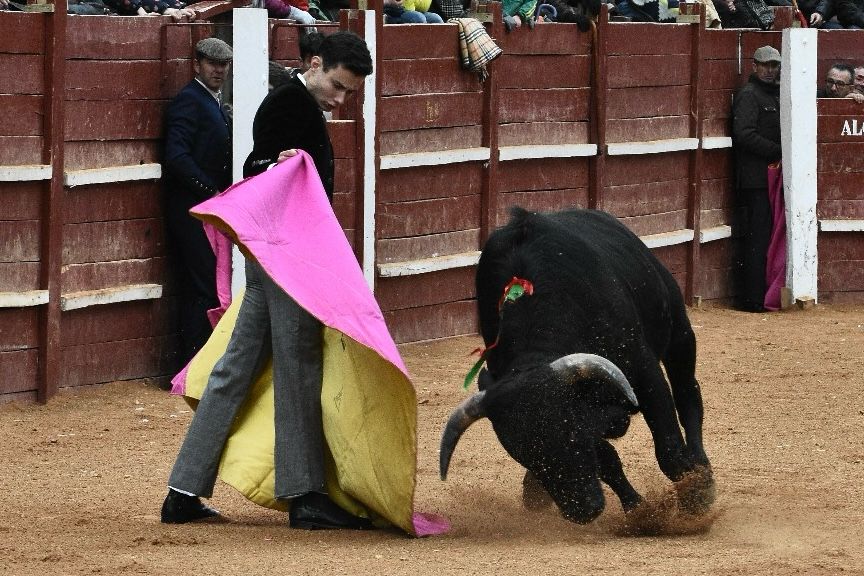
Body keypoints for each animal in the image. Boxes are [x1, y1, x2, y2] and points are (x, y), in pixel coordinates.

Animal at [438, 209, 716, 524]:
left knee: (688, 395)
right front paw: (638, 511)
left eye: (570, 434)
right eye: (521, 453)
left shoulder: (644, 374)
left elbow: (668, 448)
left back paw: (702, 471)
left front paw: (695, 496)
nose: (582, 510)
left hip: (680, 334)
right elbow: (606, 459)